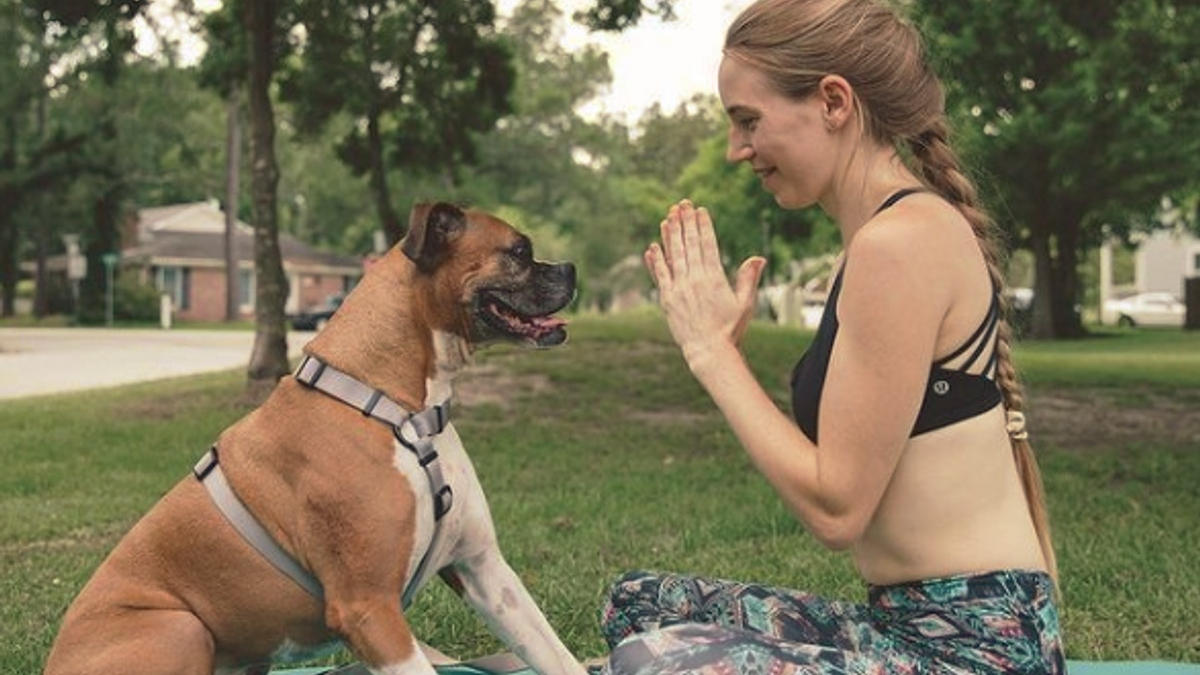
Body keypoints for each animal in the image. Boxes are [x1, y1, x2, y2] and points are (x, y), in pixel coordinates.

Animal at [44, 201, 588, 672]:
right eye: (518, 251)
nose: (571, 268)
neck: (401, 410)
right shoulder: (368, 609)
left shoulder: (483, 571)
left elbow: (557, 656)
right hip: (181, 627)